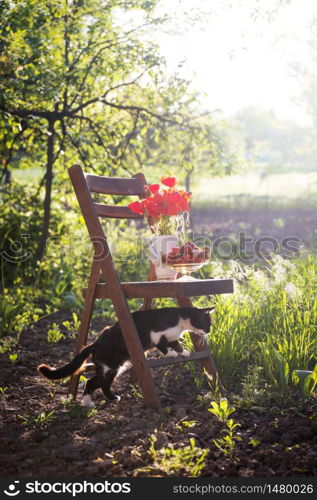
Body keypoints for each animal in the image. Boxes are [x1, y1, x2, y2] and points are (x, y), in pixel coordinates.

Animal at [38, 306, 214, 408]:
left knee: (92, 381)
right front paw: (171, 353)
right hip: (110, 367)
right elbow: (161, 344)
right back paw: (111, 397)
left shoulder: (171, 336)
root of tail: (95, 343)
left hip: (113, 367)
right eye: (207, 324)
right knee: (101, 384)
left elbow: (175, 342)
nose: (208, 331)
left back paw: (88, 402)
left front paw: (183, 352)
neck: (181, 321)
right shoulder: (156, 332)